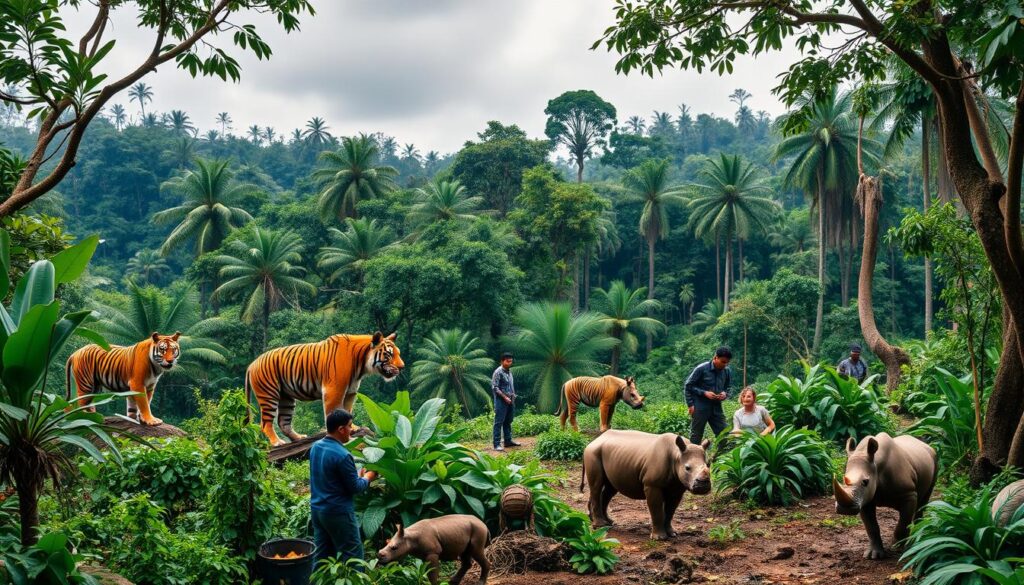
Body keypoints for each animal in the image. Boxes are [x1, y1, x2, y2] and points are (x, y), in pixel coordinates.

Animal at [245, 331, 405, 446]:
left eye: (399, 353)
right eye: (389, 354)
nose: (402, 367)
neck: (361, 365)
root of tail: (251, 364)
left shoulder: (351, 392)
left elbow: (347, 410)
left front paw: (352, 427)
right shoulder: (334, 390)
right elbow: (332, 411)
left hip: (286, 398)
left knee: (283, 423)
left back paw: (298, 437)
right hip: (269, 395)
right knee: (265, 423)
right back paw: (277, 442)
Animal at [831, 432, 937, 561]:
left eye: (865, 482)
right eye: (843, 479)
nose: (844, 509)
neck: (877, 465)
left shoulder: (909, 494)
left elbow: (903, 522)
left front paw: (897, 547)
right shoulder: (865, 498)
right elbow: (871, 527)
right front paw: (873, 555)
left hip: (935, 458)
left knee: (923, 501)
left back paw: (915, 537)